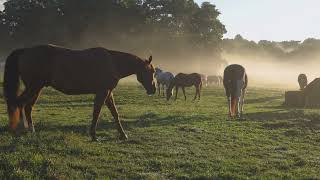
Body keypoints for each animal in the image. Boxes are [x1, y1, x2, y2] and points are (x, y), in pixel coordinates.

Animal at [2, 44, 156, 141]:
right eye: (152, 71)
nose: (153, 89)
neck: (113, 62)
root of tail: (25, 50)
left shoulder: (108, 93)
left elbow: (115, 113)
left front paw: (123, 135)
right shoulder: (102, 92)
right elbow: (96, 113)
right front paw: (94, 135)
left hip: (36, 89)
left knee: (27, 107)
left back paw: (30, 129)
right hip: (34, 87)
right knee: (19, 103)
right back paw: (20, 128)